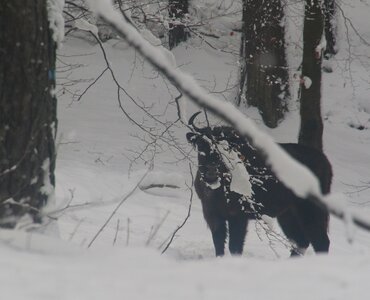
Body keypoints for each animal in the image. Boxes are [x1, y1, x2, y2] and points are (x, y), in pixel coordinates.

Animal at [186, 111, 334, 256]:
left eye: (226, 148)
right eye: (201, 145)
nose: (211, 171)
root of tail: (324, 161)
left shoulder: (238, 217)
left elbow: (235, 246)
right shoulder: (212, 214)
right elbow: (219, 243)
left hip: (310, 209)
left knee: (320, 241)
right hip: (287, 214)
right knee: (301, 241)